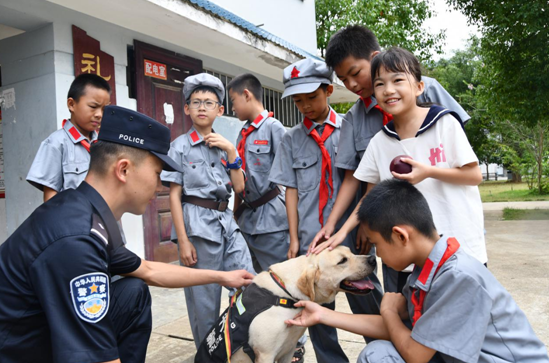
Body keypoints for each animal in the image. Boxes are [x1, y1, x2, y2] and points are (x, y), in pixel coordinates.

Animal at [195, 246, 374, 362]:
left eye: (351, 252)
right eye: (342, 260)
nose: (372, 259)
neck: (285, 294)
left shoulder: (288, 349)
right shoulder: (265, 355)